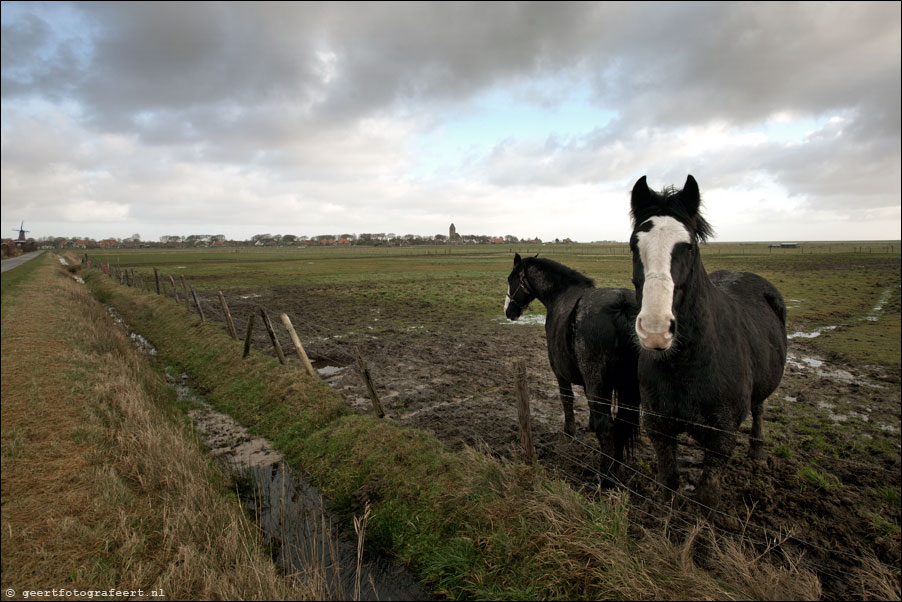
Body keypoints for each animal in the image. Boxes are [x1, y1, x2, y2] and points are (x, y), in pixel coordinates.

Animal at [508, 250, 644, 478]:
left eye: (511, 280)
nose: (508, 312)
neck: (561, 295)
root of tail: (622, 305)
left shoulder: (560, 372)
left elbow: (567, 399)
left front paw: (569, 432)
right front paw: (588, 425)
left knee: (607, 428)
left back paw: (605, 476)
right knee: (621, 425)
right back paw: (616, 465)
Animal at [632, 175, 788, 506]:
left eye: (689, 246)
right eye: (633, 244)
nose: (655, 329)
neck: (687, 363)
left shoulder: (722, 437)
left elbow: (707, 496)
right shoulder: (659, 429)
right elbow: (668, 484)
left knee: (760, 410)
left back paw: (757, 451)